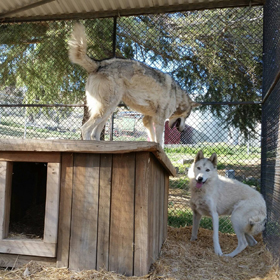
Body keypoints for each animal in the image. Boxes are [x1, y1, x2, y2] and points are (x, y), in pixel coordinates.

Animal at [67, 23, 199, 147]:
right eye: (187, 116)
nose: (182, 130)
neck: (177, 96)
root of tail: (99, 64)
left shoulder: (147, 119)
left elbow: (154, 140)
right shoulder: (159, 120)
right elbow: (160, 142)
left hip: (109, 110)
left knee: (95, 133)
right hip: (106, 108)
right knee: (85, 129)